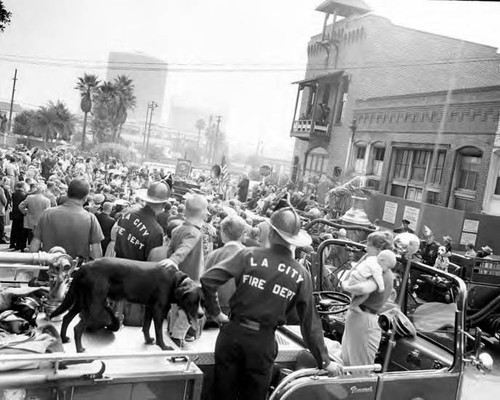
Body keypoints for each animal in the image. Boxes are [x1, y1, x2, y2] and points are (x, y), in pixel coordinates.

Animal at [48, 258, 201, 352]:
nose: (201, 315)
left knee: (67, 317)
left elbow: (146, 327)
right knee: (77, 328)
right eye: (192, 301)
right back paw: (79, 349)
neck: (175, 281)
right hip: (94, 305)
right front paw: (163, 346)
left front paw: (148, 340)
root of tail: (84, 267)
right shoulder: (159, 310)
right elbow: (158, 331)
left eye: (201, 301)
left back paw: (63, 338)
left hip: (81, 301)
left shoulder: (149, 307)